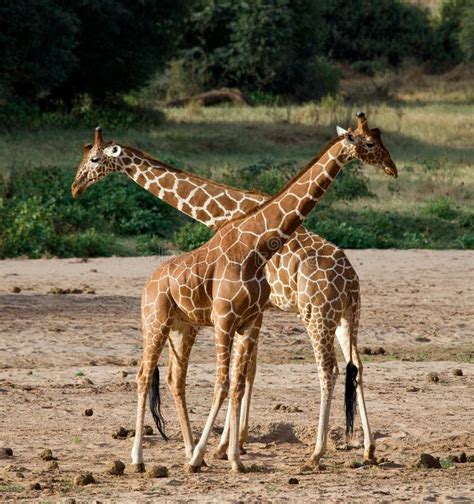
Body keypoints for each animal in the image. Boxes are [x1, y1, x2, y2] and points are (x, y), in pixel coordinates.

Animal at [71, 112, 396, 470]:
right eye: (372, 142)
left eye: (94, 159)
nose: (75, 186)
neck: (225, 212)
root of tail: (351, 279)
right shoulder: (251, 316)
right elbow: (244, 375)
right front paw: (230, 444)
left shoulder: (251, 314)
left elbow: (239, 377)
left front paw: (224, 446)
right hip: (346, 317)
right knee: (357, 367)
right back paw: (367, 449)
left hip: (318, 315)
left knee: (330, 370)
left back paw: (320, 451)